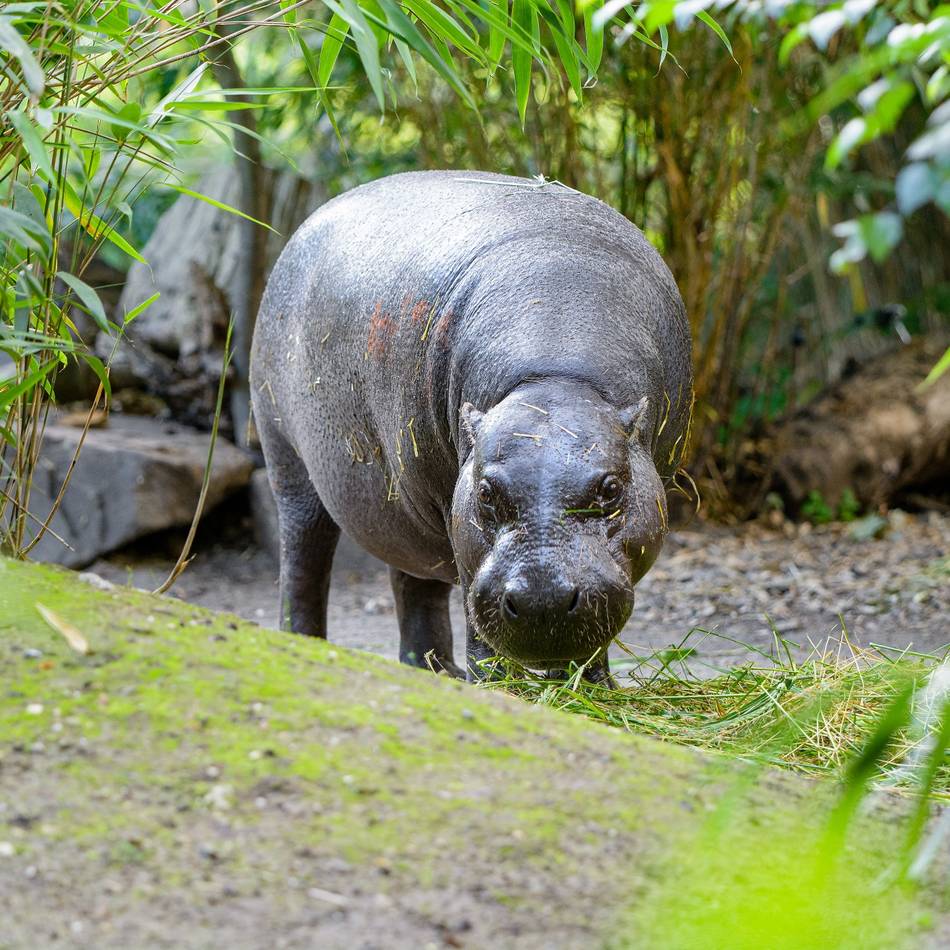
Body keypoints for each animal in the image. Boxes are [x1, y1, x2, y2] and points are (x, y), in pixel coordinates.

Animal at [250, 171, 693, 682]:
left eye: (611, 489)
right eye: (485, 492)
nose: (542, 601)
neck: (555, 381)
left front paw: (592, 685)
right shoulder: (456, 510)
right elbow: (471, 602)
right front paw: (497, 685)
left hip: (406, 503)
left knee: (414, 586)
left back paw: (438, 674)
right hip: (292, 464)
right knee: (303, 562)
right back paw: (305, 647)